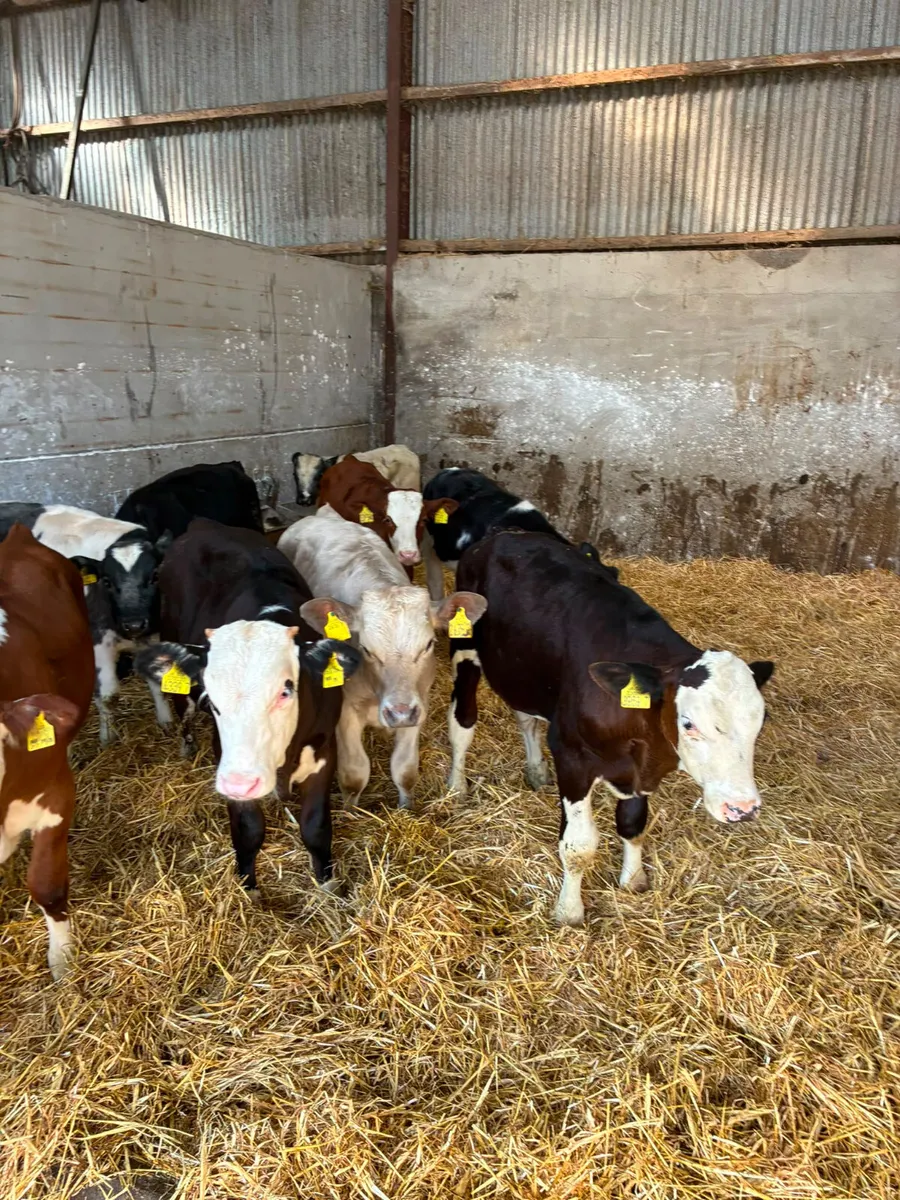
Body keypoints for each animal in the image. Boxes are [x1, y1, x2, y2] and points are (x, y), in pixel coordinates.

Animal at [0, 504, 171, 744]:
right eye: (107, 581)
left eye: (155, 576)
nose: (134, 624)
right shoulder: (97, 643)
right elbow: (108, 696)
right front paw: (107, 739)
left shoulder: (153, 635)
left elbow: (157, 682)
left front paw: (167, 722)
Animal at [133, 519, 361, 895]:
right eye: (212, 699)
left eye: (286, 691)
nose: (240, 783)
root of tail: (201, 524)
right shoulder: (226, 757)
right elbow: (249, 829)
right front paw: (248, 888)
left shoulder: (324, 749)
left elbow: (315, 825)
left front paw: (328, 883)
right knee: (183, 711)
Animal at [278, 508, 486, 810]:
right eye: (366, 649)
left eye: (428, 645)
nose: (399, 713)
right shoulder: (345, 712)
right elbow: (354, 773)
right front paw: (350, 811)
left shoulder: (418, 704)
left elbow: (405, 769)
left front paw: (406, 808)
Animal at [448, 531, 775, 927]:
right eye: (688, 723)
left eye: (760, 720)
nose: (742, 807)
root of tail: (505, 534)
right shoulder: (573, 756)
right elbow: (578, 846)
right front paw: (569, 911)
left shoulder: (640, 763)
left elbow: (633, 824)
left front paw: (633, 880)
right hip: (465, 650)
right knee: (462, 721)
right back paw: (456, 786)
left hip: (522, 672)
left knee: (526, 716)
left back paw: (536, 770)